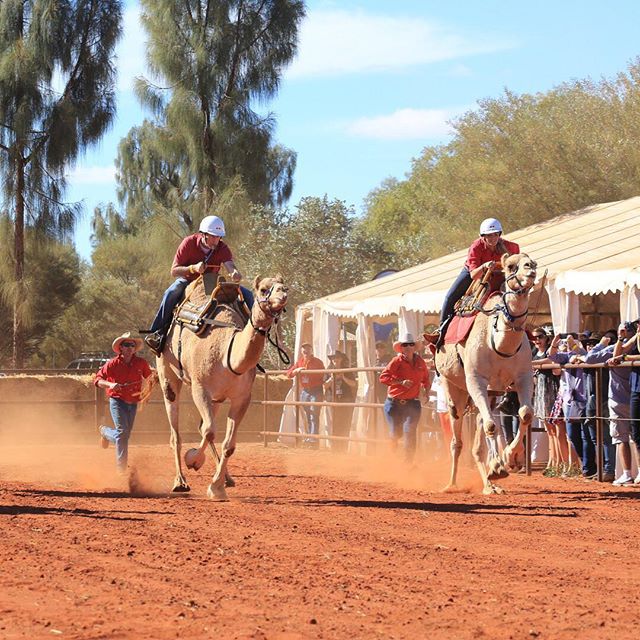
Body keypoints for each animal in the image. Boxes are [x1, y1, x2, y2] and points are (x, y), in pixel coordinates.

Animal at [155, 274, 288, 500]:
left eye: (283, 286)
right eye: (263, 289)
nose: (283, 294)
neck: (227, 354)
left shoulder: (242, 398)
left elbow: (228, 445)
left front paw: (216, 486)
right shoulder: (200, 389)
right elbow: (209, 431)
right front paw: (193, 460)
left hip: (216, 398)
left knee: (202, 427)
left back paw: (227, 478)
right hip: (167, 373)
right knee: (176, 432)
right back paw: (180, 481)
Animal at [432, 254, 536, 496]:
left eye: (531, 261)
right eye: (511, 266)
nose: (531, 269)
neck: (500, 344)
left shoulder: (523, 376)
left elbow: (526, 413)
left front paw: (510, 458)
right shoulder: (475, 379)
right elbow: (491, 425)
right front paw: (498, 466)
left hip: (491, 393)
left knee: (478, 433)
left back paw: (490, 485)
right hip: (453, 386)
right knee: (457, 437)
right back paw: (451, 484)